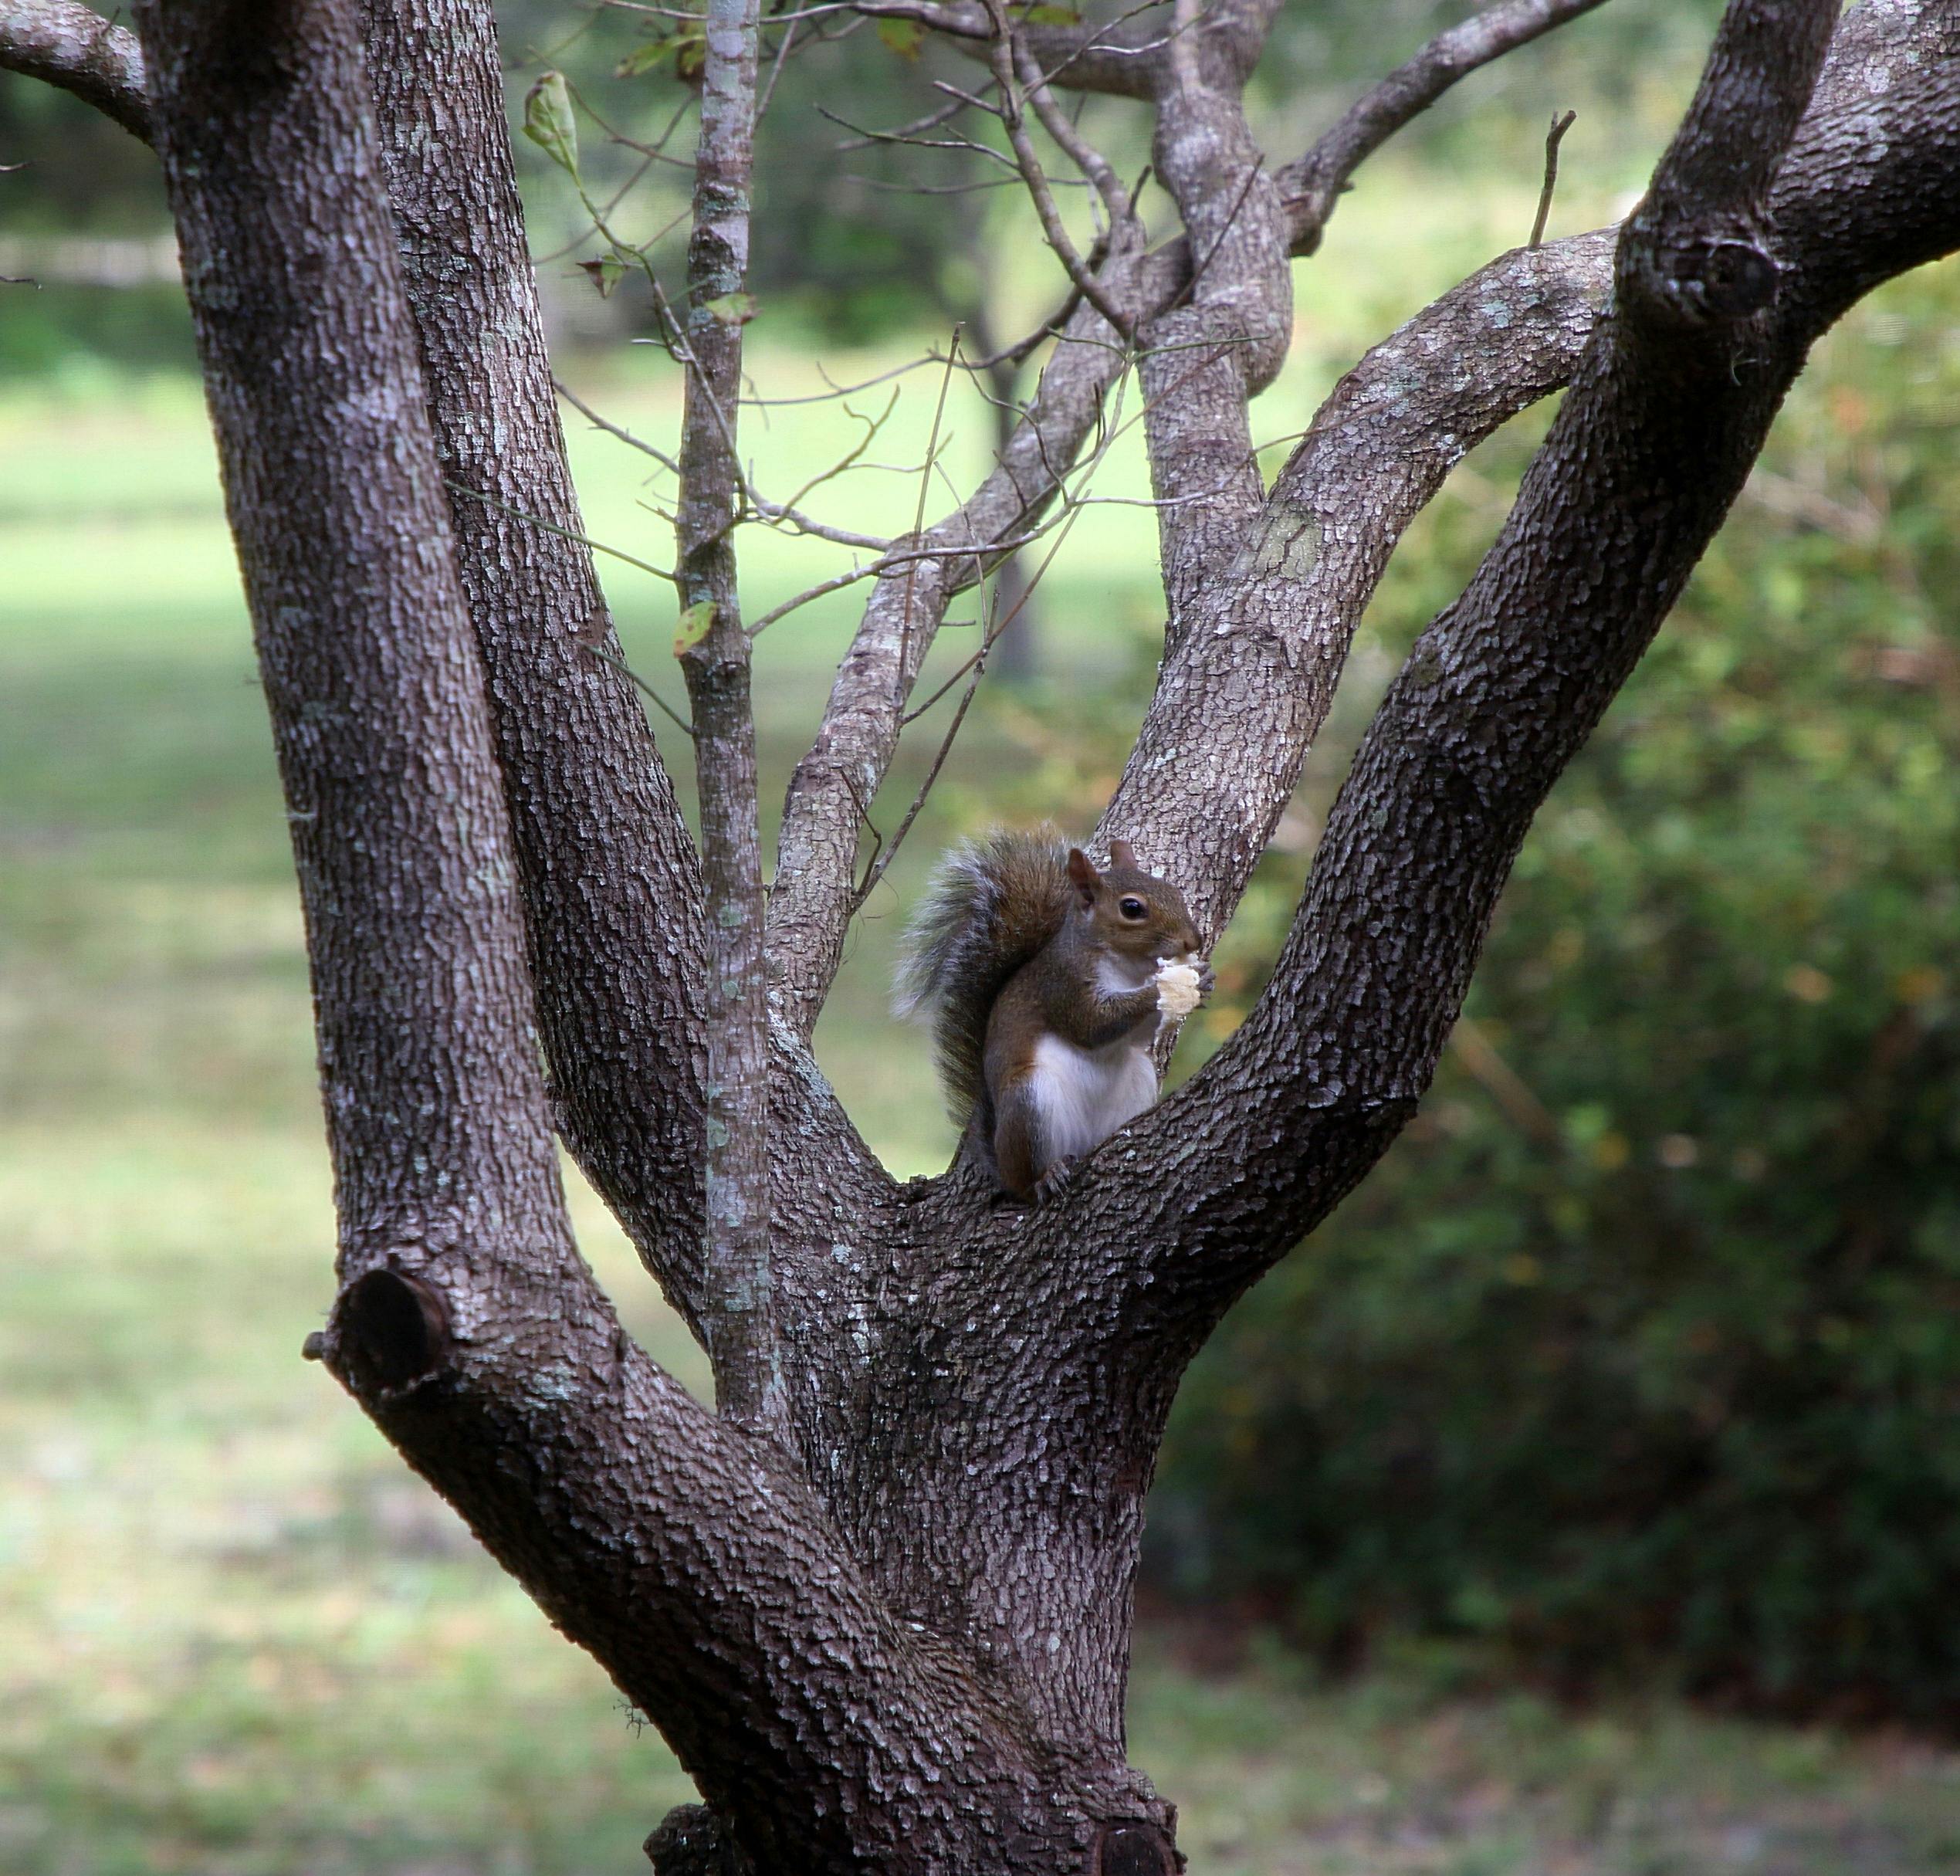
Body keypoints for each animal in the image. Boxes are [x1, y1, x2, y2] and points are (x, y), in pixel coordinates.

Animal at [893, 831, 1199, 1199]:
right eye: (1132, 908)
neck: (1128, 966)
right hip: (1029, 1100)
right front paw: (1158, 990)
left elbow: (1139, 1036)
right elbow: (1092, 1024)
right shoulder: (1063, 985)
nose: (1193, 941)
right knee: (1025, 1184)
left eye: (1176, 892)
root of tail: (1002, 1169)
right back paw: (1045, 1177)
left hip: (1138, 1080)